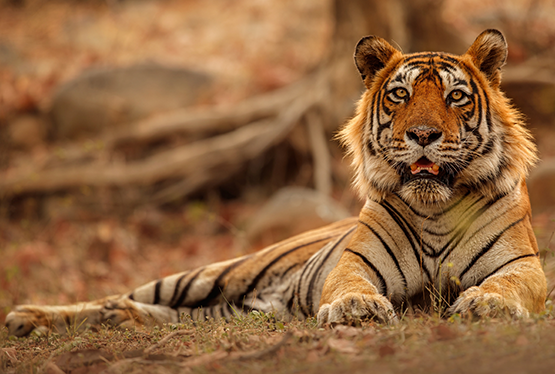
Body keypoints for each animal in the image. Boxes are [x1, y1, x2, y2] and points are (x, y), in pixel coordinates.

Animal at [3, 29, 548, 336]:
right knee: (118, 295)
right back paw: (30, 317)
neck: (435, 207)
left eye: (456, 96)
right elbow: (350, 284)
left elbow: (508, 283)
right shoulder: (353, 263)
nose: (423, 135)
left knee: (164, 313)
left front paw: (488, 304)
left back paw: (119, 321)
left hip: (230, 308)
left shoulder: (524, 267)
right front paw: (356, 307)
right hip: (209, 274)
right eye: (400, 95)